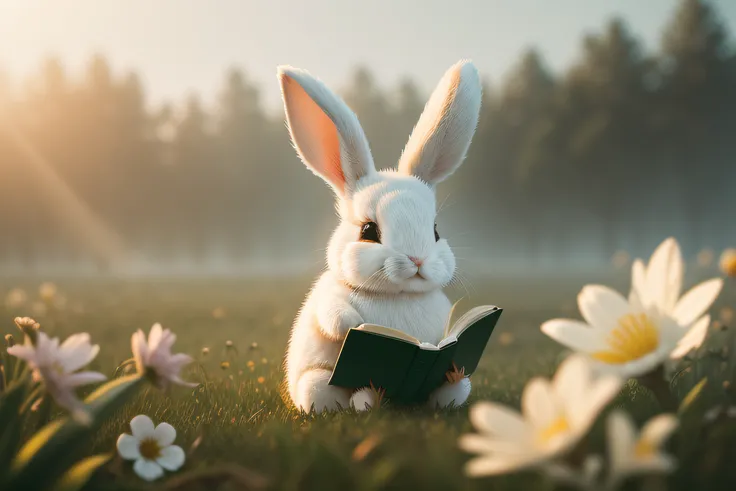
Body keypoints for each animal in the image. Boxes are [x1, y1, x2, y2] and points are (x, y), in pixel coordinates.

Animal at [278, 60, 484, 416]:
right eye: (368, 231)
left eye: (435, 231)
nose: (417, 259)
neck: (397, 295)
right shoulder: (329, 299)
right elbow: (333, 314)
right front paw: (354, 326)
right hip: (314, 384)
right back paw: (367, 397)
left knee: (456, 389)